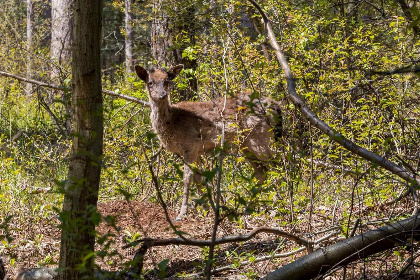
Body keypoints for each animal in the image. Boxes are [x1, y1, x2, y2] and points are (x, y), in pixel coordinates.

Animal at [135, 64, 282, 220]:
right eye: (150, 82)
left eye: (167, 81)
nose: (162, 94)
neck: (173, 122)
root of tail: (276, 105)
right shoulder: (196, 151)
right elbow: (198, 179)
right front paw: (206, 210)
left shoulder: (190, 145)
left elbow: (187, 179)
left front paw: (182, 213)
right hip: (246, 144)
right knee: (262, 172)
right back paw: (249, 209)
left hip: (260, 137)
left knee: (276, 165)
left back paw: (278, 208)